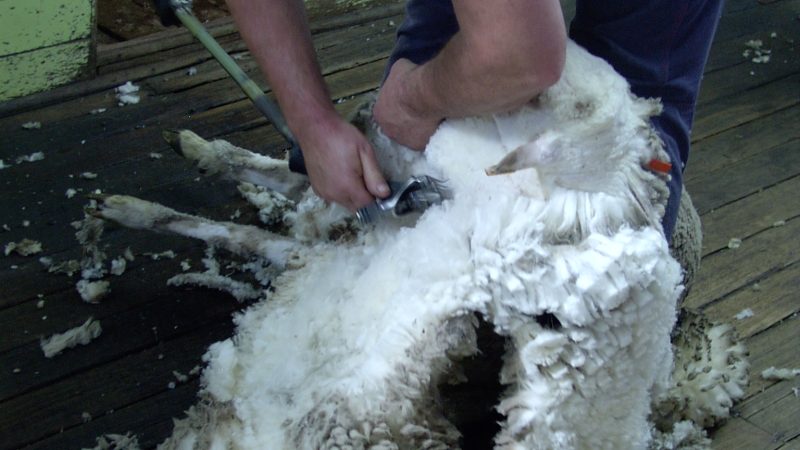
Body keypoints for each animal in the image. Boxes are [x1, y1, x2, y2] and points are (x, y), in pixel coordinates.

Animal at [90, 40, 748, 448]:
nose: (367, 113)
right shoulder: (337, 247)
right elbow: (241, 222)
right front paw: (151, 186)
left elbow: (241, 226)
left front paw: (128, 201)